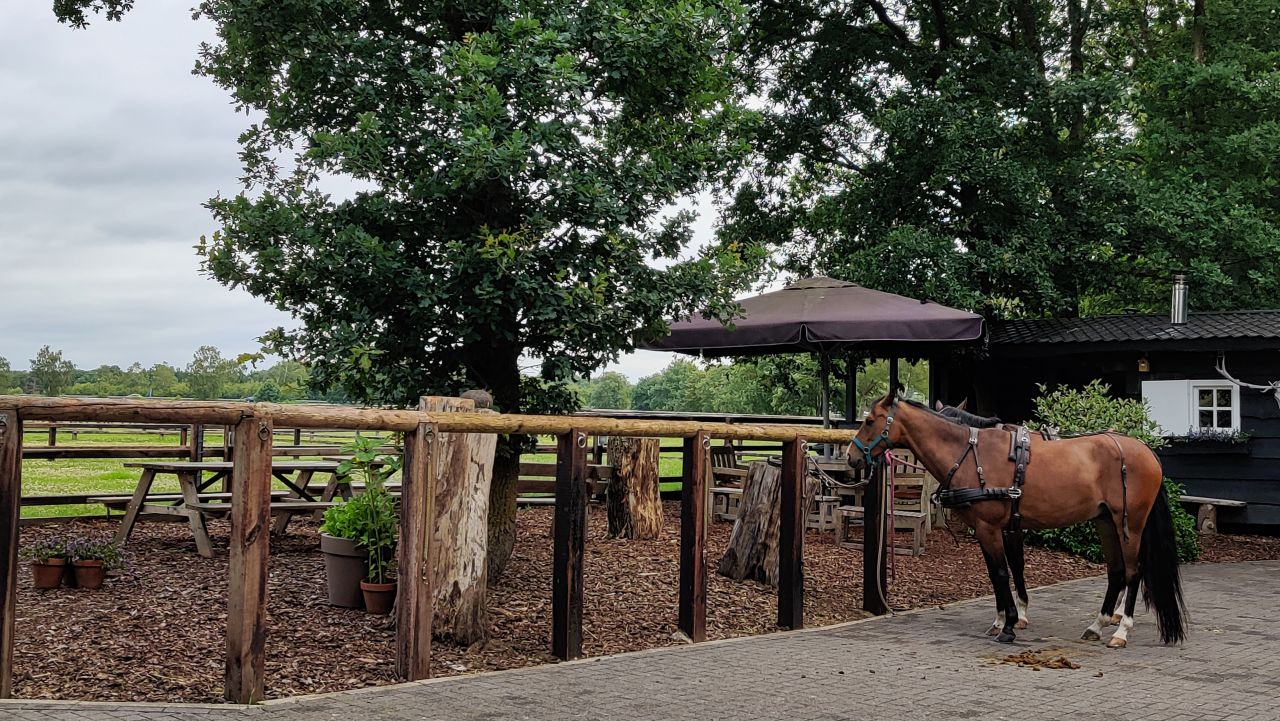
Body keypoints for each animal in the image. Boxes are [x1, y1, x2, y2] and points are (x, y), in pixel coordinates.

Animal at [855, 394, 1182, 648]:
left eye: (870, 421)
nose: (852, 456)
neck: (972, 454)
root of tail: (1145, 451)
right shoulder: (998, 528)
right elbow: (1001, 571)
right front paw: (1002, 619)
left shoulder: (991, 528)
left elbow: (1002, 572)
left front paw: (1011, 623)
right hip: (1106, 522)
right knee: (1116, 572)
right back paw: (1097, 625)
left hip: (1131, 526)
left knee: (1133, 572)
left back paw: (1121, 630)